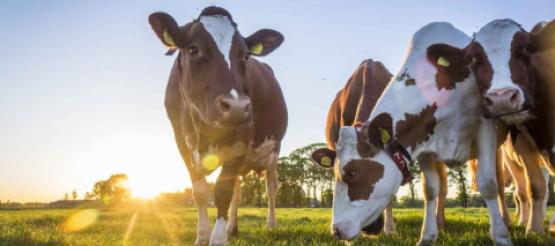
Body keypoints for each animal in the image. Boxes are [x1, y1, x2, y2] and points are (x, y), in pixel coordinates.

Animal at [148, 6, 286, 245]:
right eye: (193, 49)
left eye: (245, 55)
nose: (237, 106)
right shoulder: (182, 143)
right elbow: (200, 192)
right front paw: (203, 236)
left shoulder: (242, 137)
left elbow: (222, 191)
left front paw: (218, 238)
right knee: (238, 191)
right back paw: (232, 227)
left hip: (273, 151)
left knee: (270, 188)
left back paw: (270, 224)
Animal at [312, 22, 512, 245]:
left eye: (352, 172)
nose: (336, 231)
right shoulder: (423, 142)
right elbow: (430, 190)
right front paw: (427, 236)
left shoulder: (485, 126)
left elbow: (488, 184)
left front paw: (501, 237)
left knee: (500, 183)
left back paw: (509, 222)